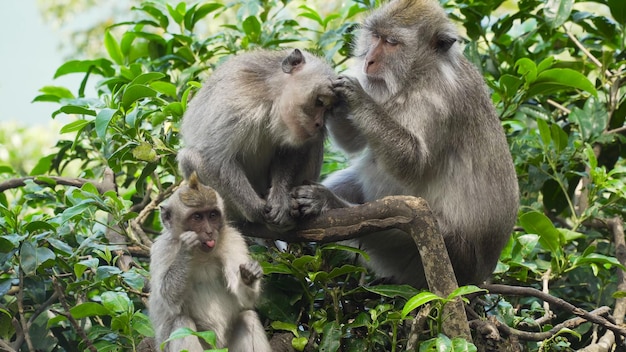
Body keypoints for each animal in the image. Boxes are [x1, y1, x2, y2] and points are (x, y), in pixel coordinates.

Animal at [151, 173, 270, 352]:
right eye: (197, 217)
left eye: (213, 215)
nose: (209, 232)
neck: (202, 255)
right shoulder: (162, 249)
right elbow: (168, 297)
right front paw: (186, 249)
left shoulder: (233, 239)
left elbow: (245, 299)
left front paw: (248, 276)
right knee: (181, 321)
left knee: (248, 317)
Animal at [177, 48, 336, 232]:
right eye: (319, 102)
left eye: (328, 109)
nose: (319, 124)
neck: (270, 97)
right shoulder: (234, 102)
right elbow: (216, 160)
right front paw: (256, 210)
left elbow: (290, 151)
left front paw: (281, 201)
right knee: (189, 158)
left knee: (314, 141)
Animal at [292, 0, 516, 288]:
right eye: (375, 36)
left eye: (391, 42)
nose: (368, 60)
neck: (415, 77)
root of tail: (479, 276)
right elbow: (353, 142)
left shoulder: (438, 101)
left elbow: (413, 162)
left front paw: (356, 97)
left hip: (451, 254)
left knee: (402, 222)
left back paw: (329, 204)